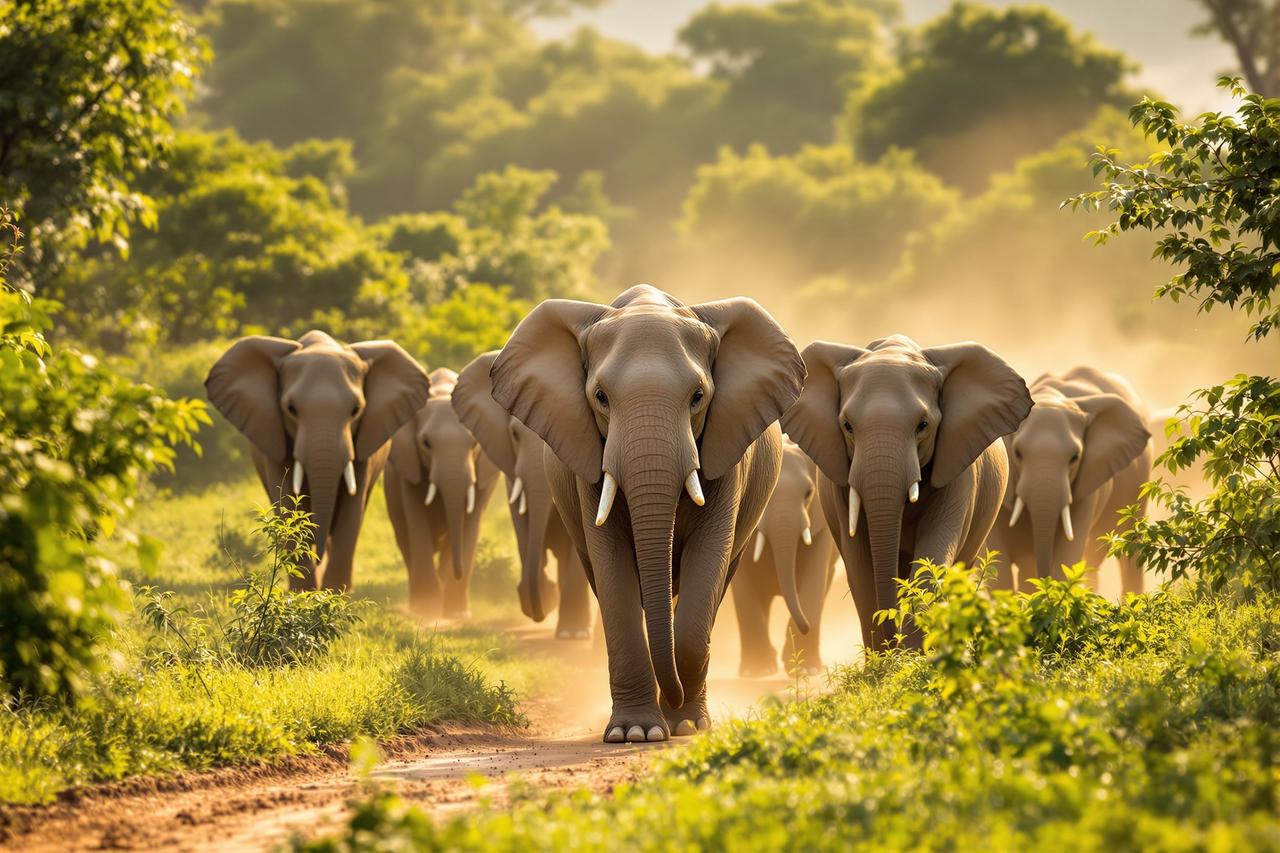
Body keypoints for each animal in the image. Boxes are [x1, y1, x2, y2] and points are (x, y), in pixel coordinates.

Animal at [206, 331, 430, 590]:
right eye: (291, 408)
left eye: (356, 410)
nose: (318, 556)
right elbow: (287, 502)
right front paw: (305, 594)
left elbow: (351, 511)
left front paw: (335, 594)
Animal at [384, 368, 502, 618]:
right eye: (426, 443)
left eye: (474, 443)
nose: (458, 573)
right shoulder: (409, 467)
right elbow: (417, 520)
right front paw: (426, 610)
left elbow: (470, 523)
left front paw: (458, 614)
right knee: (405, 539)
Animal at [486, 284, 804, 743]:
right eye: (601, 398)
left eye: (698, 397)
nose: (671, 712)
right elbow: (614, 573)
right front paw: (635, 733)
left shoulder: (728, 448)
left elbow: (705, 573)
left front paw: (686, 725)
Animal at [731, 437, 838, 677]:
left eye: (809, 493)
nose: (805, 626)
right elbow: (743, 588)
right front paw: (757, 672)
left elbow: (814, 581)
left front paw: (807, 670)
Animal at [783, 335, 1032, 649]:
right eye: (847, 426)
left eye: (922, 425)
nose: (894, 642)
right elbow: (860, 565)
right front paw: (884, 659)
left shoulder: (959, 470)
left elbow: (934, 555)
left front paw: (912, 654)